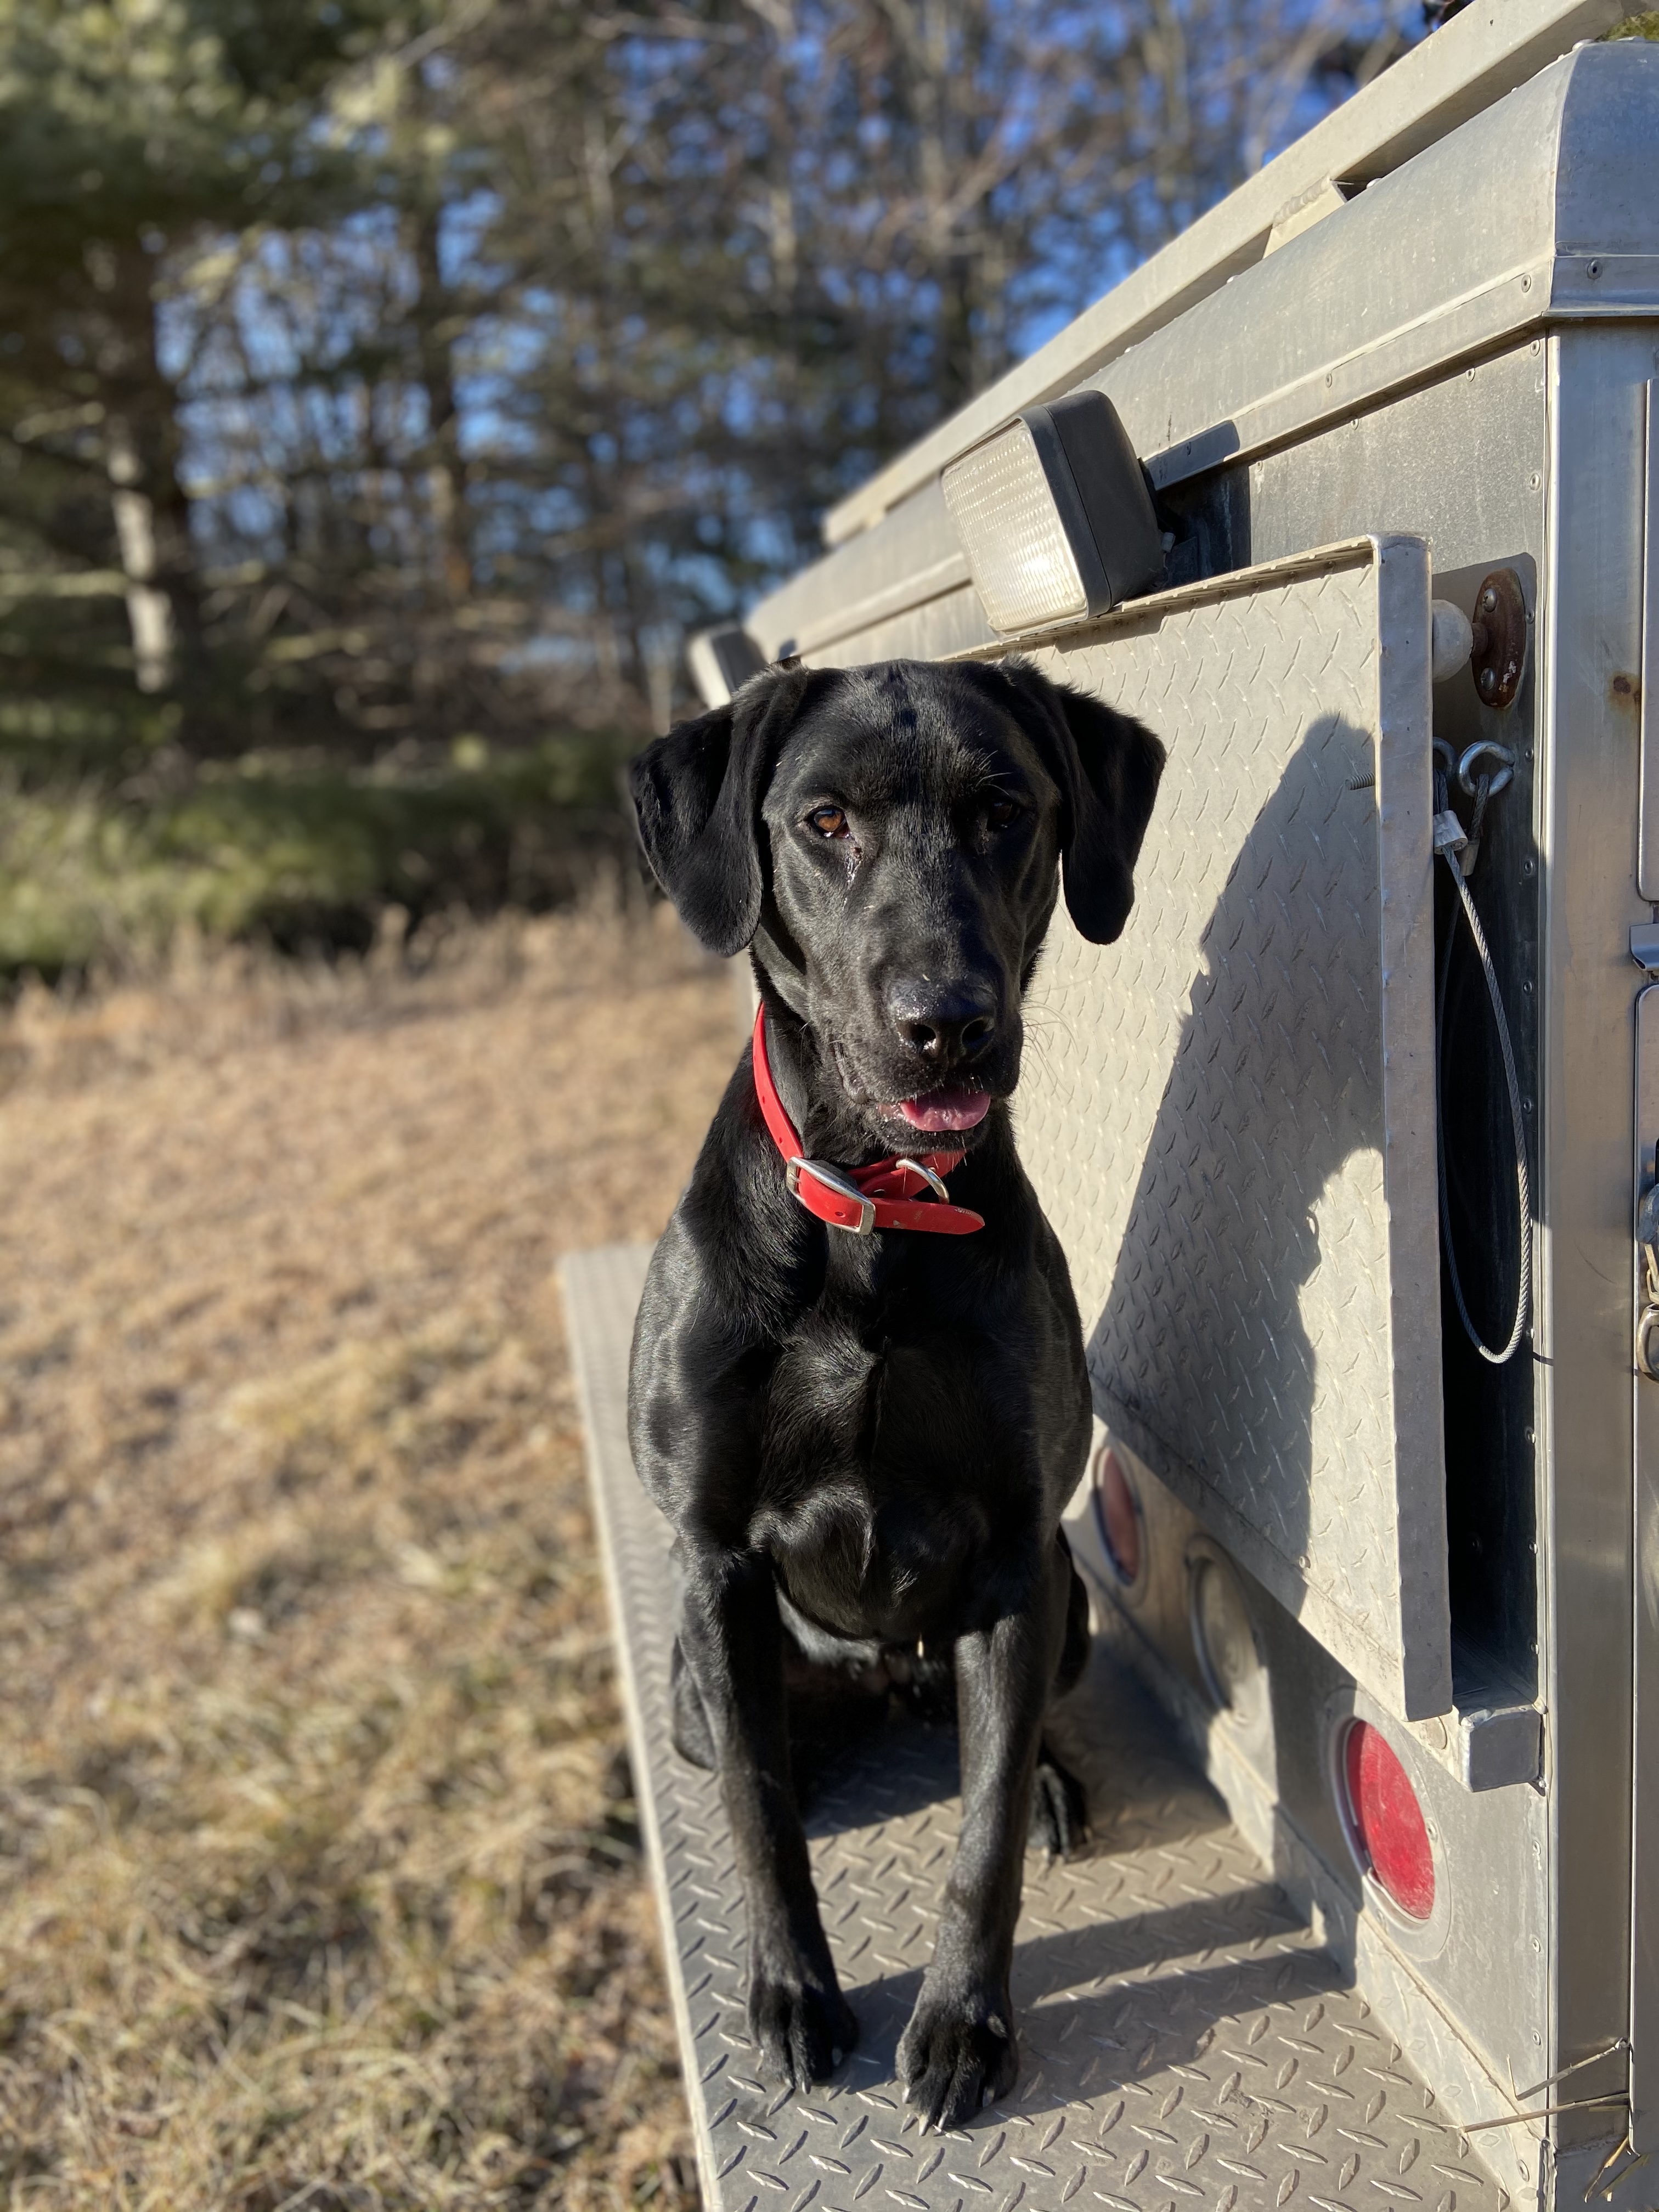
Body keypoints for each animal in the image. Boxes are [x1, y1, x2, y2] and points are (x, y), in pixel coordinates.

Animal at [628, 650, 1167, 2123]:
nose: (951, 1025)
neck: (877, 1215)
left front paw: (966, 2024)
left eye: (1006, 812)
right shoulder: (716, 1564)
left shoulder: (1019, 1555)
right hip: (697, 1672)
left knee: (1006, 1733)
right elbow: (758, 1818)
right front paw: (796, 1995)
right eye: (825, 823)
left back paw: (1047, 1778)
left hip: (1066, 1600)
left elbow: (982, 1836)